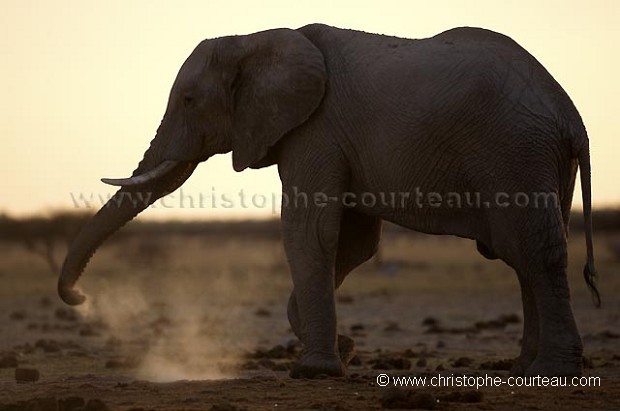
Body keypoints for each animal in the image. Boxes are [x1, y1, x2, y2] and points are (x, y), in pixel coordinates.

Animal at [59, 24, 600, 380]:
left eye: (189, 101)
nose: (81, 298)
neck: (257, 39)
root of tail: (571, 116)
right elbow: (354, 242)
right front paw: (342, 351)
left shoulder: (315, 130)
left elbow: (308, 230)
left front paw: (315, 370)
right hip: (538, 160)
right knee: (525, 251)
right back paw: (521, 367)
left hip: (516, 152)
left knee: (534, 248)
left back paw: (551, 371)